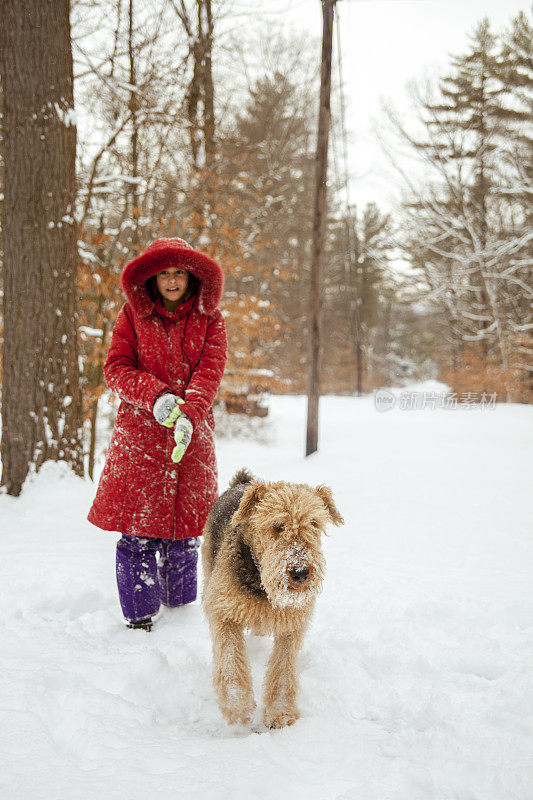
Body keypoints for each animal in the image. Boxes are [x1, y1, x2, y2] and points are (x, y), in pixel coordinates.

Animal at [201, 466, 344, 728]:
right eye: (277, 525)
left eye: (314, 523)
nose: (300, 573)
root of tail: (241, 483)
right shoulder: (224, 611)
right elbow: (230, 657)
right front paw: (237, 705)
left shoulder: (292, 624)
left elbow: (283, 667)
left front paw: (280, 714)